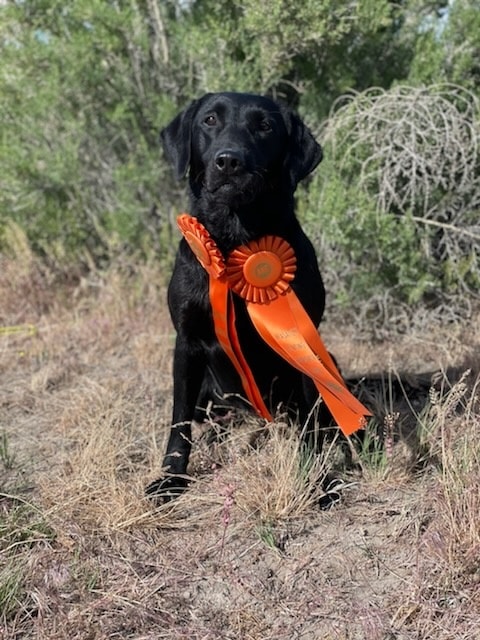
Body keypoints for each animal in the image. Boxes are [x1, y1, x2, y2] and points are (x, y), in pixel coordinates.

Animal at [148, 91, 332, 500]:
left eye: (264, 126)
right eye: (210, 120)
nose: (229, 160)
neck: (235, 239)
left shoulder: (303, 339)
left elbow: (313, 420)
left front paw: (322, 479)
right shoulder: (186, 342)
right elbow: (178, 421)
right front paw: (170, 477)